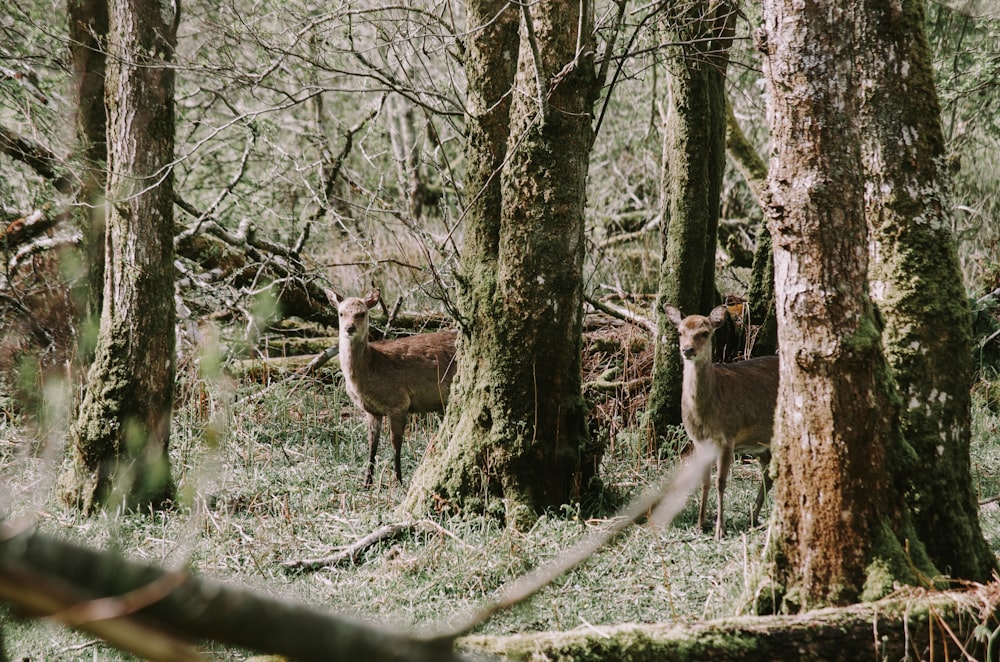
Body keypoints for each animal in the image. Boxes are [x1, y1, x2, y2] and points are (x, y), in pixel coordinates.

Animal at [336, 290, 460, 488]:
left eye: (362, 313)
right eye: (341, 313)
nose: (349, 328)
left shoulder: (398, 401)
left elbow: (396, 442)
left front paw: (399, 480)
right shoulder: (372, 410)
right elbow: (372, 444)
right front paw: (367, 482)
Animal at [664, 304, 780, 540]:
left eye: (704, 333)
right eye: (680, 332)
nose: (687, 349)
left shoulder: (728, 435)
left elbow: (721, 481)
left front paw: (720, 529)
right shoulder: (699, 442)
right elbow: (705, 481)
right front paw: (700, 525)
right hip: (762, 442)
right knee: (768, 472)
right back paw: (752, 518)